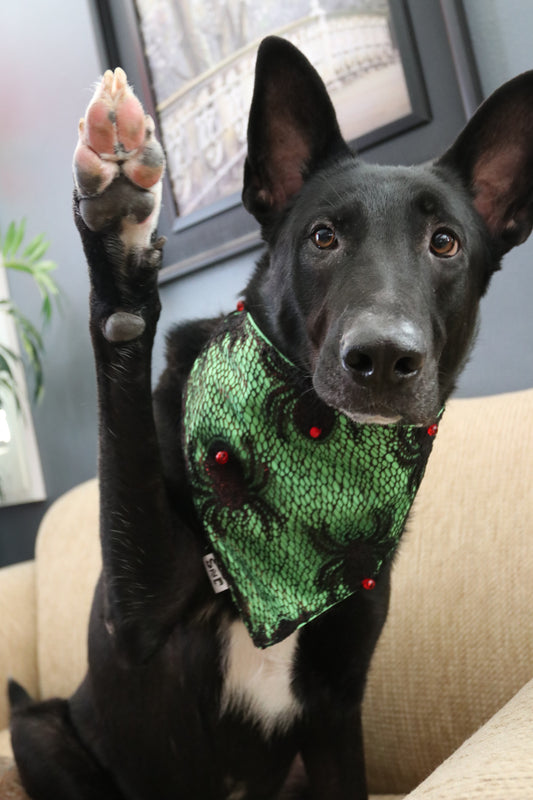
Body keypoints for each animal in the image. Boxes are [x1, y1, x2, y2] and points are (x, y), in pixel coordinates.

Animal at [7, 37, 532, 800]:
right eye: (322, 237)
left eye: (445, 243)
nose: (381, 358)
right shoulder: (135, 618)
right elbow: (122, 401)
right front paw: (119, 225)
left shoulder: (337, 708)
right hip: (38, 729)